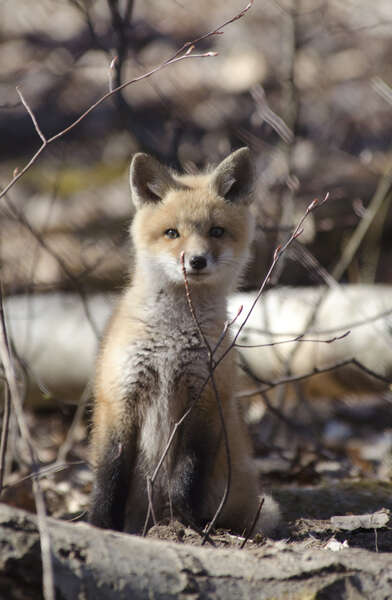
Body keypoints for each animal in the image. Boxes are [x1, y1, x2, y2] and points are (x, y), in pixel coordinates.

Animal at [89, 148, 278, 536]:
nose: (196, 260)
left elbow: (187, 475)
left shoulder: (204, 401)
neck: (171, 341)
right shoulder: (119, 398)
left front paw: (183, 524)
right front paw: (100, 525)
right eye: (172, 233)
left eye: (217, 231)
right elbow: (110, 476)